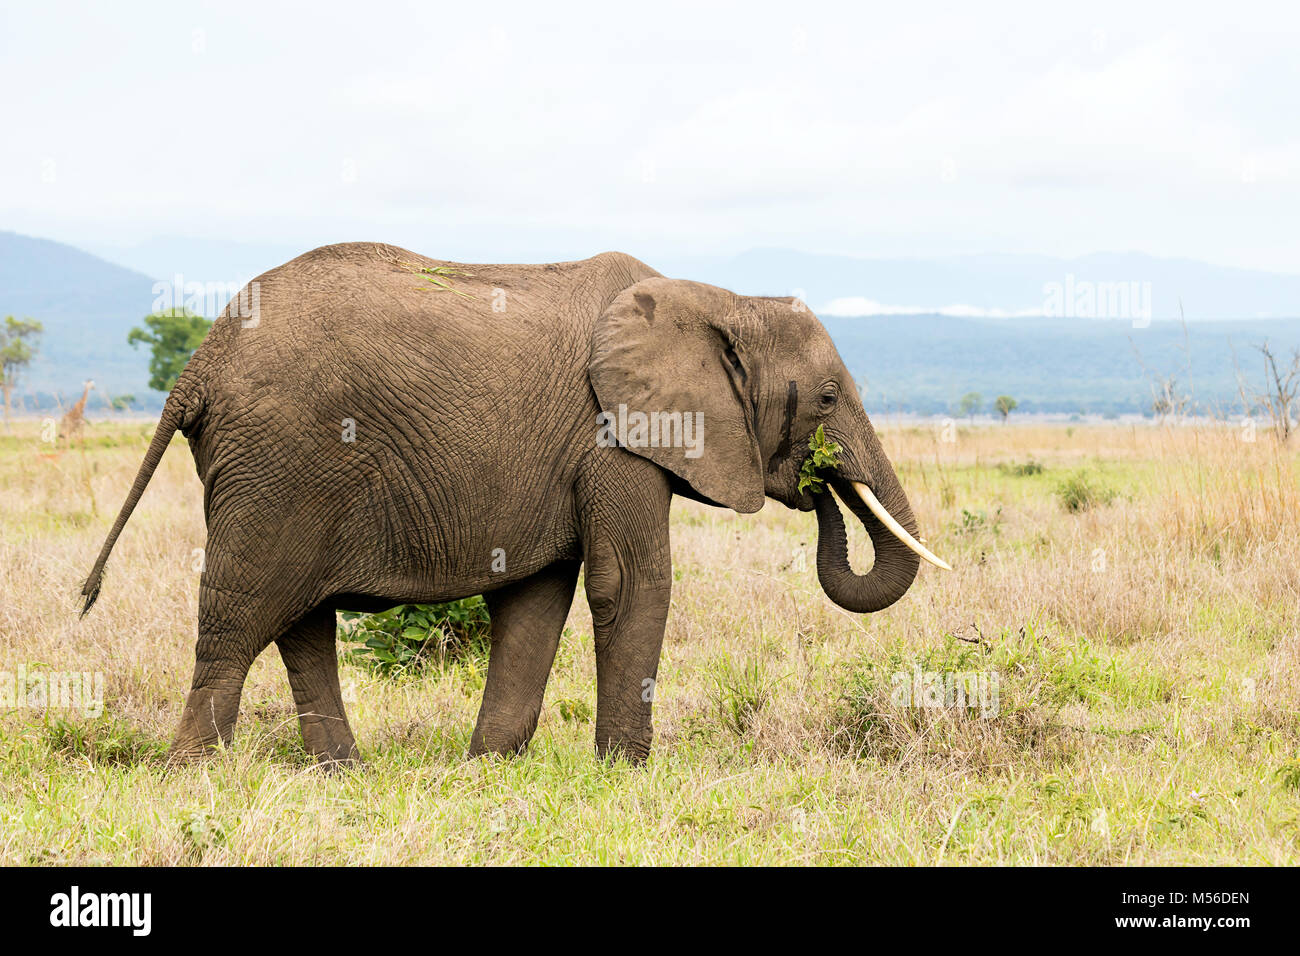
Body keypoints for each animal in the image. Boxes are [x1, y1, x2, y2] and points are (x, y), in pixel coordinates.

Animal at [81, 243, 948, 766]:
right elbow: (630, 584)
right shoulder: (612, 435)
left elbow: (536, 600)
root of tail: (200, 360)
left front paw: (487, 766)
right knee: (242, 609)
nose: (820, 479)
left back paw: (342, 774)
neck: (721, 298)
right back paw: (194, 772)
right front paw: (627, 773)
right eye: (826, 399)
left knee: (301, 620)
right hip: (277, 460)